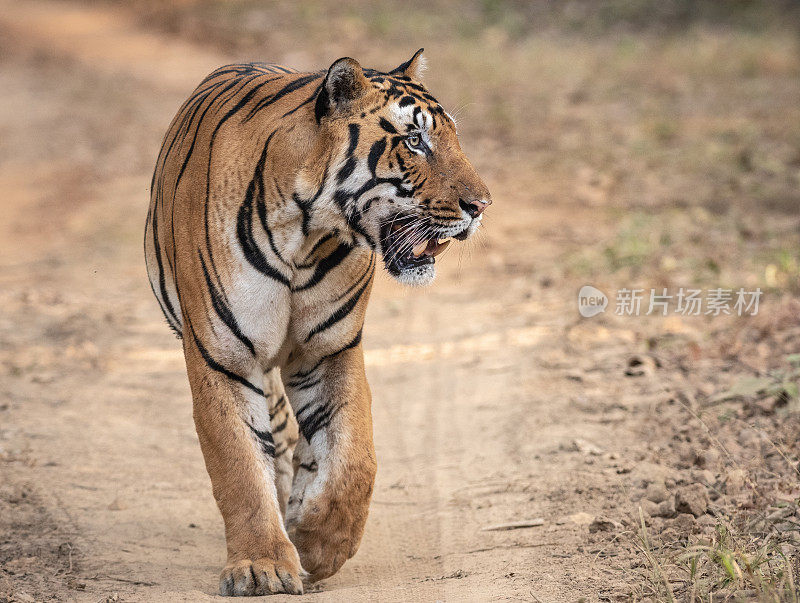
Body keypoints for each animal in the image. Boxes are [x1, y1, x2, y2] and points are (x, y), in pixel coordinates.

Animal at [146, 49, 490, 596]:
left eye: (453, 137)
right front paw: (262, 567)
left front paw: (317, 543)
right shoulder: (222, 357)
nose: (481, 206)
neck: (307, 232)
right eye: (415, 140)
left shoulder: (330, 350)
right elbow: (239, 464)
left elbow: (353, 455)